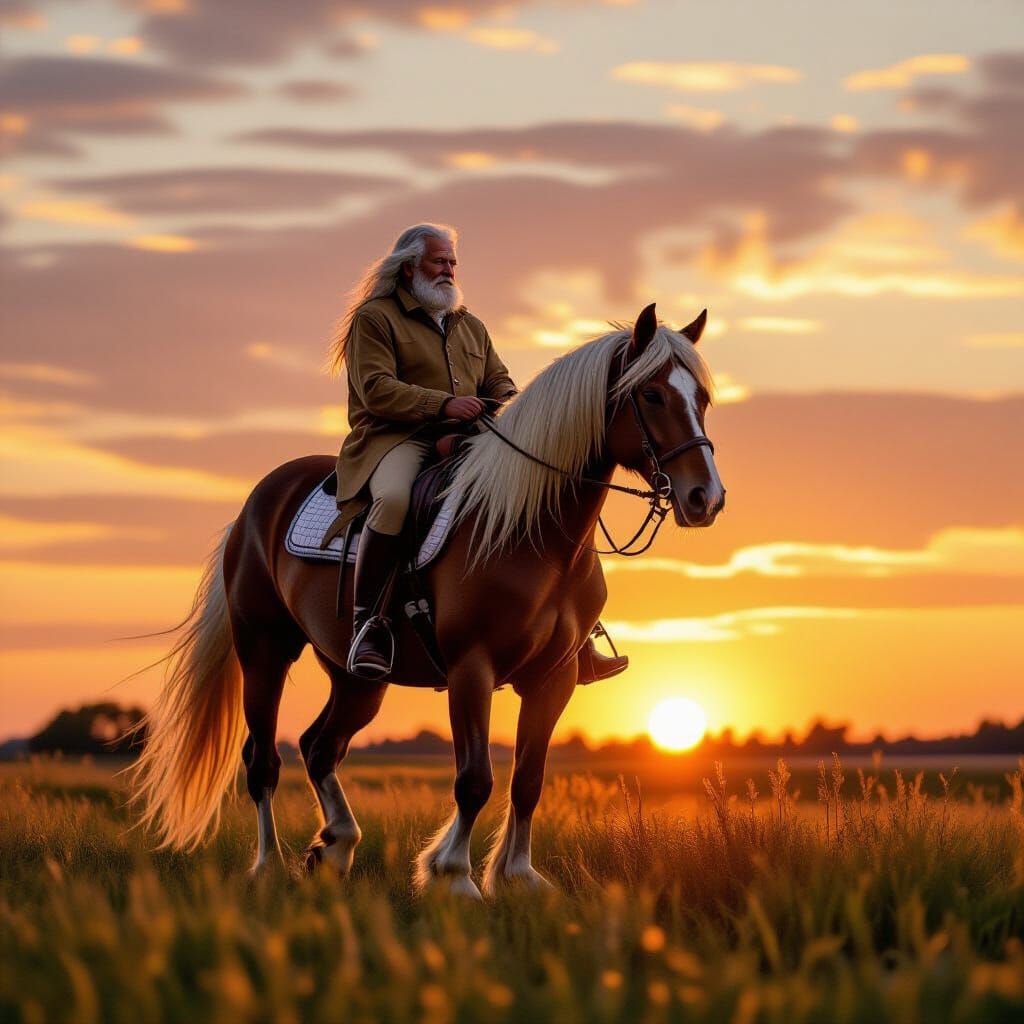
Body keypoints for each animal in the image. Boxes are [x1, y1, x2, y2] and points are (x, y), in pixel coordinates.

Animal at [130, 302, 725, 898]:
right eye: (651, 394)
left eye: (701, 398)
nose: (706, 498)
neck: (528, 530)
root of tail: (254, 506)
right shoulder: (471, 669)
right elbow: (475, 779)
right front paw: (453, 876)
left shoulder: (552, 678)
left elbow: (528, 780)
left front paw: (519, 876)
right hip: (265, 652)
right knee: (263, 762)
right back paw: (269, 867)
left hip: (356, 679)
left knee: (319, 747)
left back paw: (336, 846)